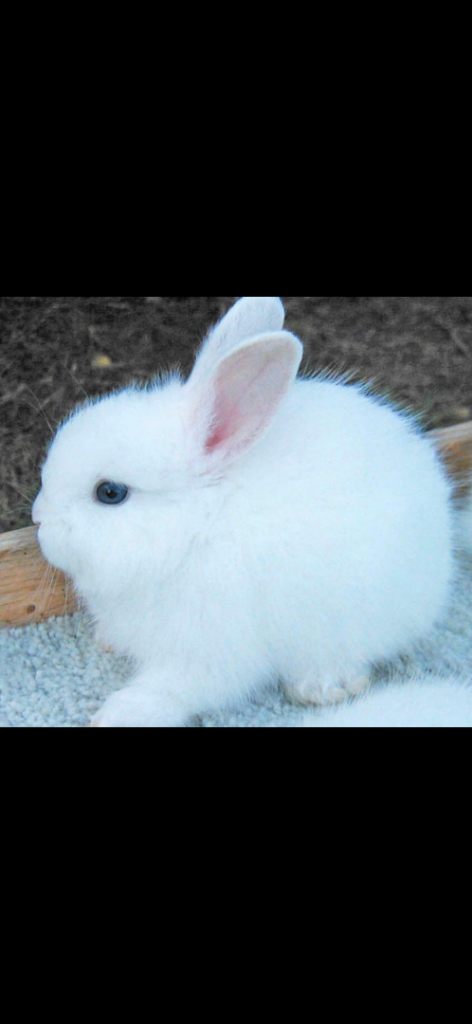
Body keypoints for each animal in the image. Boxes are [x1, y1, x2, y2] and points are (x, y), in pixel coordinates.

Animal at [32, 296, 458, 727]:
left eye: (110, 493)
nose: (37, 518)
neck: (196, 530)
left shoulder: (210, 649)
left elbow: (174, 689)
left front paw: (116, 715)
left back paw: (322, 685)